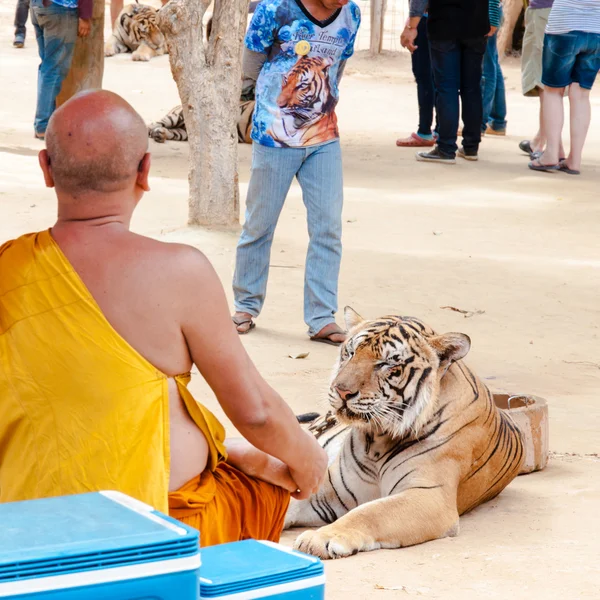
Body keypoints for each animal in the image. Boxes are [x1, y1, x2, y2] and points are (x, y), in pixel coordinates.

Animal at [286, 308, 524, 560]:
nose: (341, 391)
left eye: (386, 364)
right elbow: (290, 501)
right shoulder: (333, 487)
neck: (376, 440)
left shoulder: (429, 495)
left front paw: (321, 538)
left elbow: (370, 512)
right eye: (350, 353)